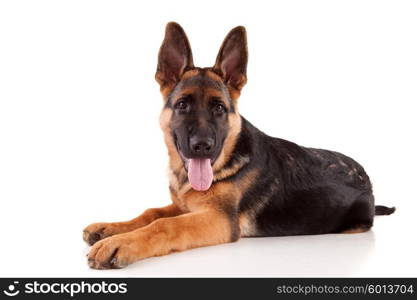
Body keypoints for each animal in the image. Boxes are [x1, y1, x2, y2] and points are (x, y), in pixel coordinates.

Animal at [83, 22, 394, 268]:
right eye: (182, 105)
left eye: (219, 108)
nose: (202, 146)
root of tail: (368, 182)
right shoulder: (188, 206)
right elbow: (152, 212)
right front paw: (110, 229)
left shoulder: (218, 220)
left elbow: (165, 225)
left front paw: (121, 243)